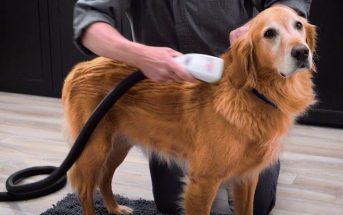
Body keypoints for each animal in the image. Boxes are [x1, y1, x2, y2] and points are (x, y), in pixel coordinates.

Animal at [61, 5, 318, 214]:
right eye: (269, 33)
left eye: (298, 25)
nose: (302, 52)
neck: (252, 92)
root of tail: (80, 67)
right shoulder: (202, 181)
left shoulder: (246, 177)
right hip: (94, 147)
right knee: (85, 190)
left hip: (118, 145)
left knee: (104, 179)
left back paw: (115, 208)